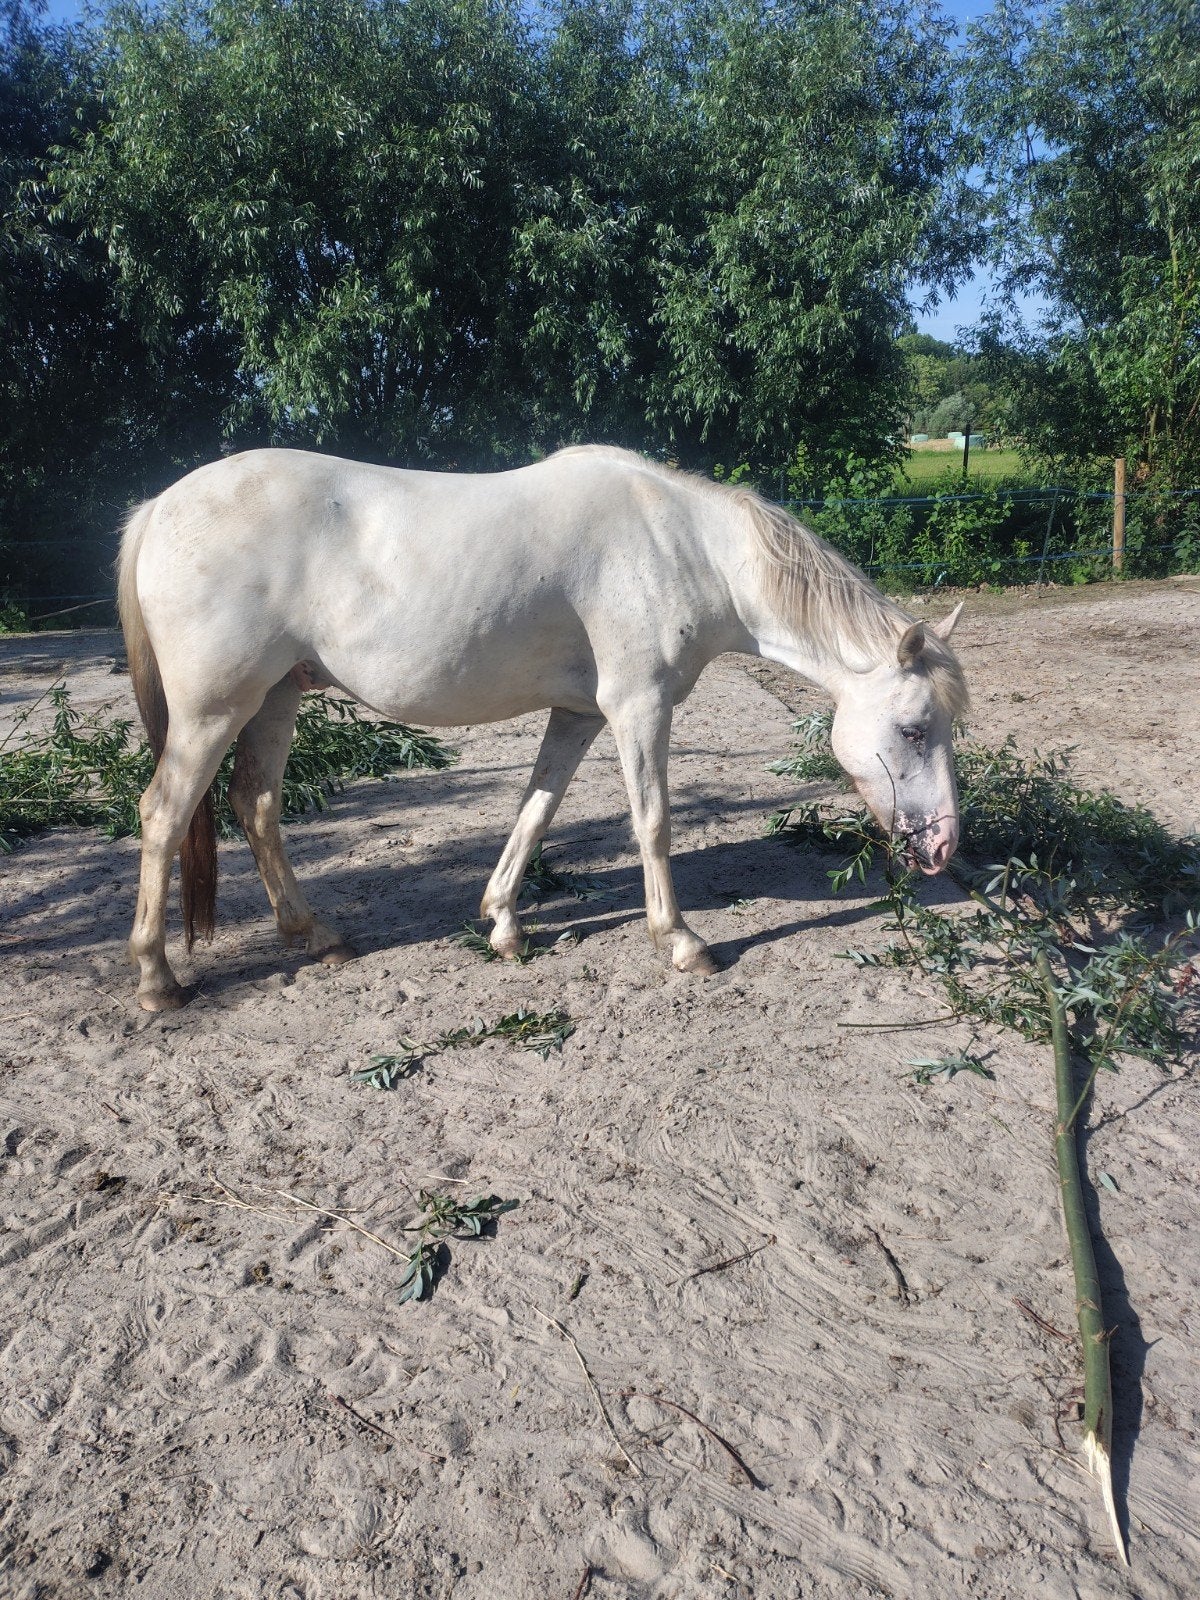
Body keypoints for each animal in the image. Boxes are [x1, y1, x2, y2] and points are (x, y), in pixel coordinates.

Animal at [116, 444, 967, 1011]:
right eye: (915, 729)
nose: (943, 849)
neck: (680, 544)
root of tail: (157, 509)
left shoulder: (580, 715)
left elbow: (536, 810)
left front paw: (503, 924)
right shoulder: (639, 707)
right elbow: (653, 823)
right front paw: (680, 942)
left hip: (275, 699)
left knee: (256, 805)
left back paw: (315, 935)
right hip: (214, 711)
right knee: (163, 815)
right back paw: (157, 980)